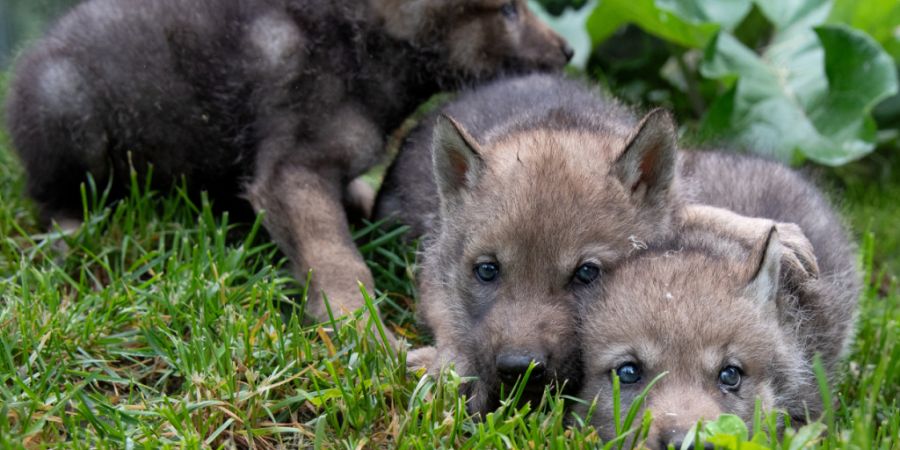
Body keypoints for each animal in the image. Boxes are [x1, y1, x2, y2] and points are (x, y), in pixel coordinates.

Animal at [4, 0, 572, 332]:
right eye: (507, 10)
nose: (568, 51)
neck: (365, 49)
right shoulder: (292, 173)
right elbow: (339, 260)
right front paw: (360, 332)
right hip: (66, 105)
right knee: (50, 195)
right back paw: (70, 234)